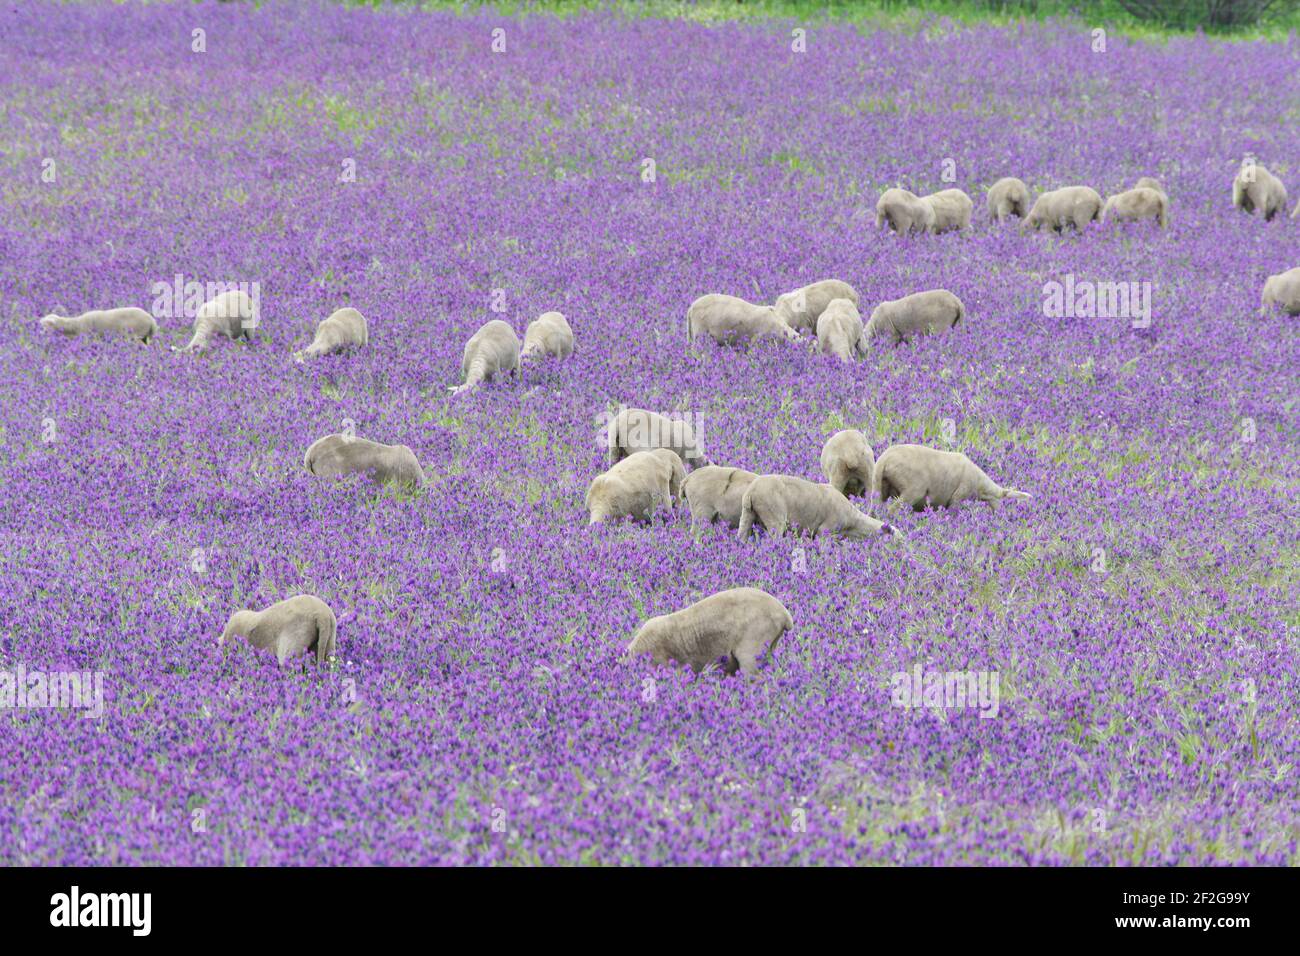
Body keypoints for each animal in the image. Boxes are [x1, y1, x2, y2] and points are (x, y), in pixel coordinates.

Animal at [873, 444, 1031, 510]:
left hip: (880, 487)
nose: (1001, 516)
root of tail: (885, 460)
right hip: (913, 490)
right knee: (893, 509)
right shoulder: (958, 497)